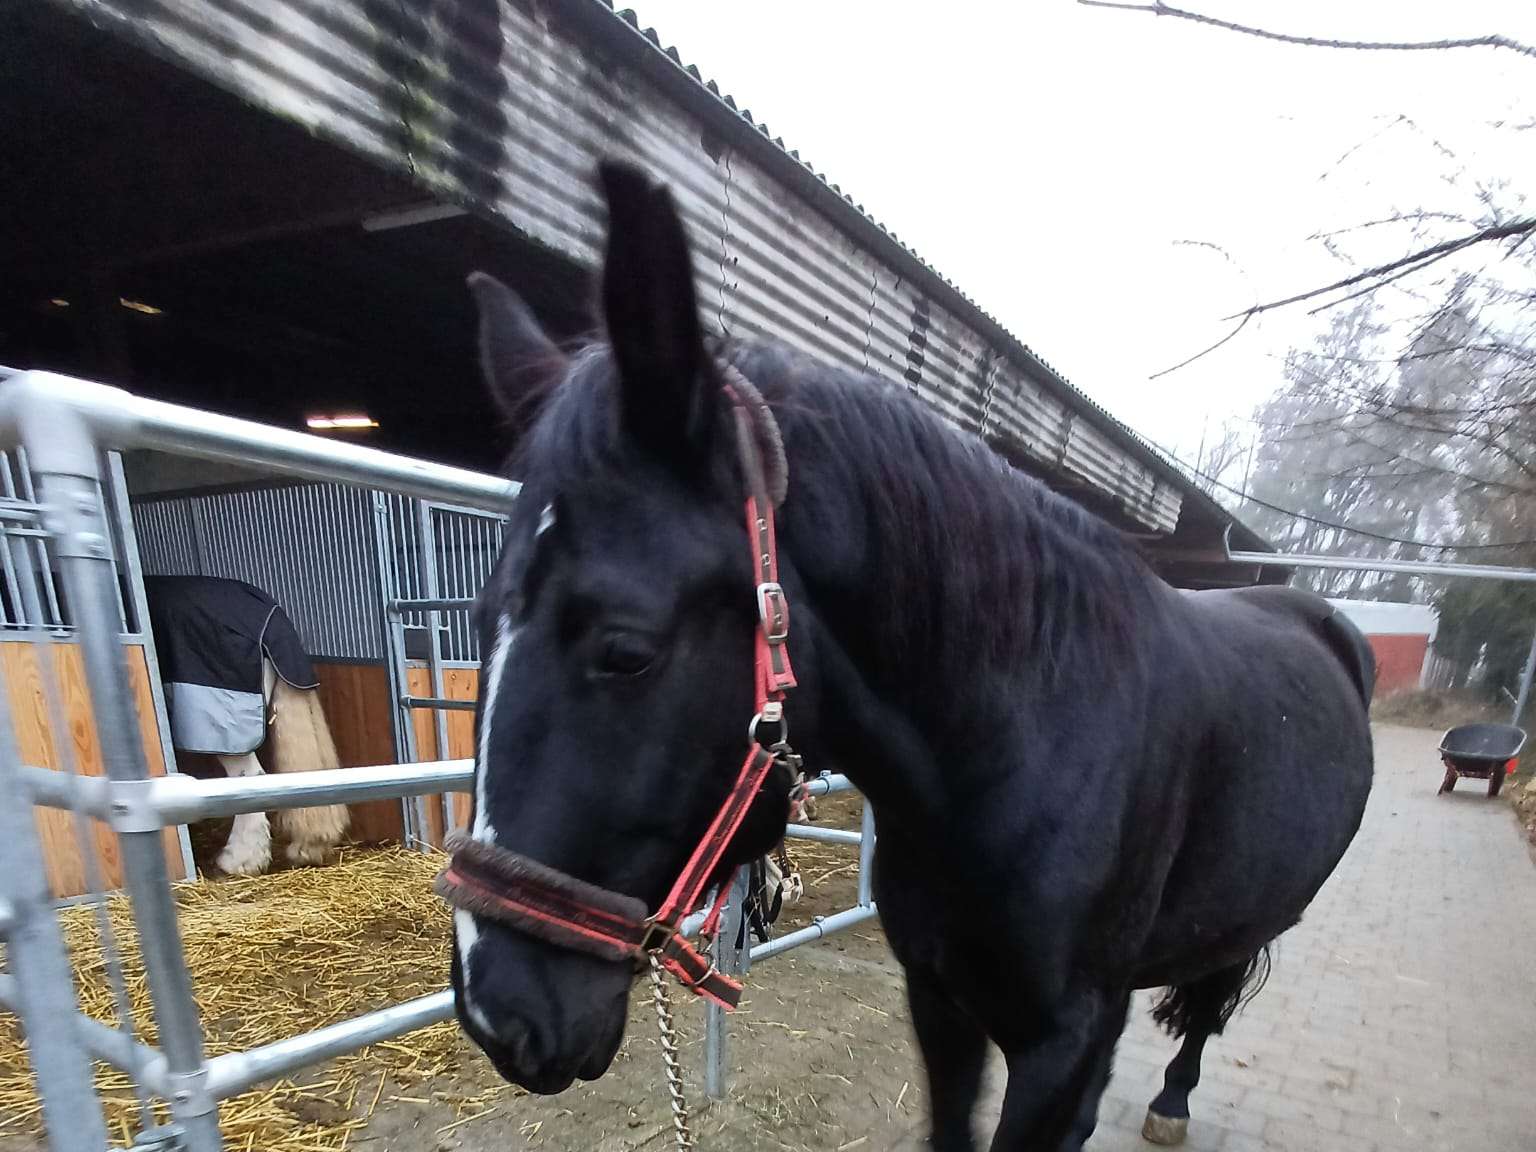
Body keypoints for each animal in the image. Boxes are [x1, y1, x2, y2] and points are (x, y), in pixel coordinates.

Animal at [438, 161, 1375, 1150]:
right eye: (481, 618)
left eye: (626, 650)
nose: (499, 1015)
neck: (1025, 749)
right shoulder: (940, 1003)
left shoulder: (1065, 1037)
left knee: (1212, 998)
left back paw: (1171, 1101)